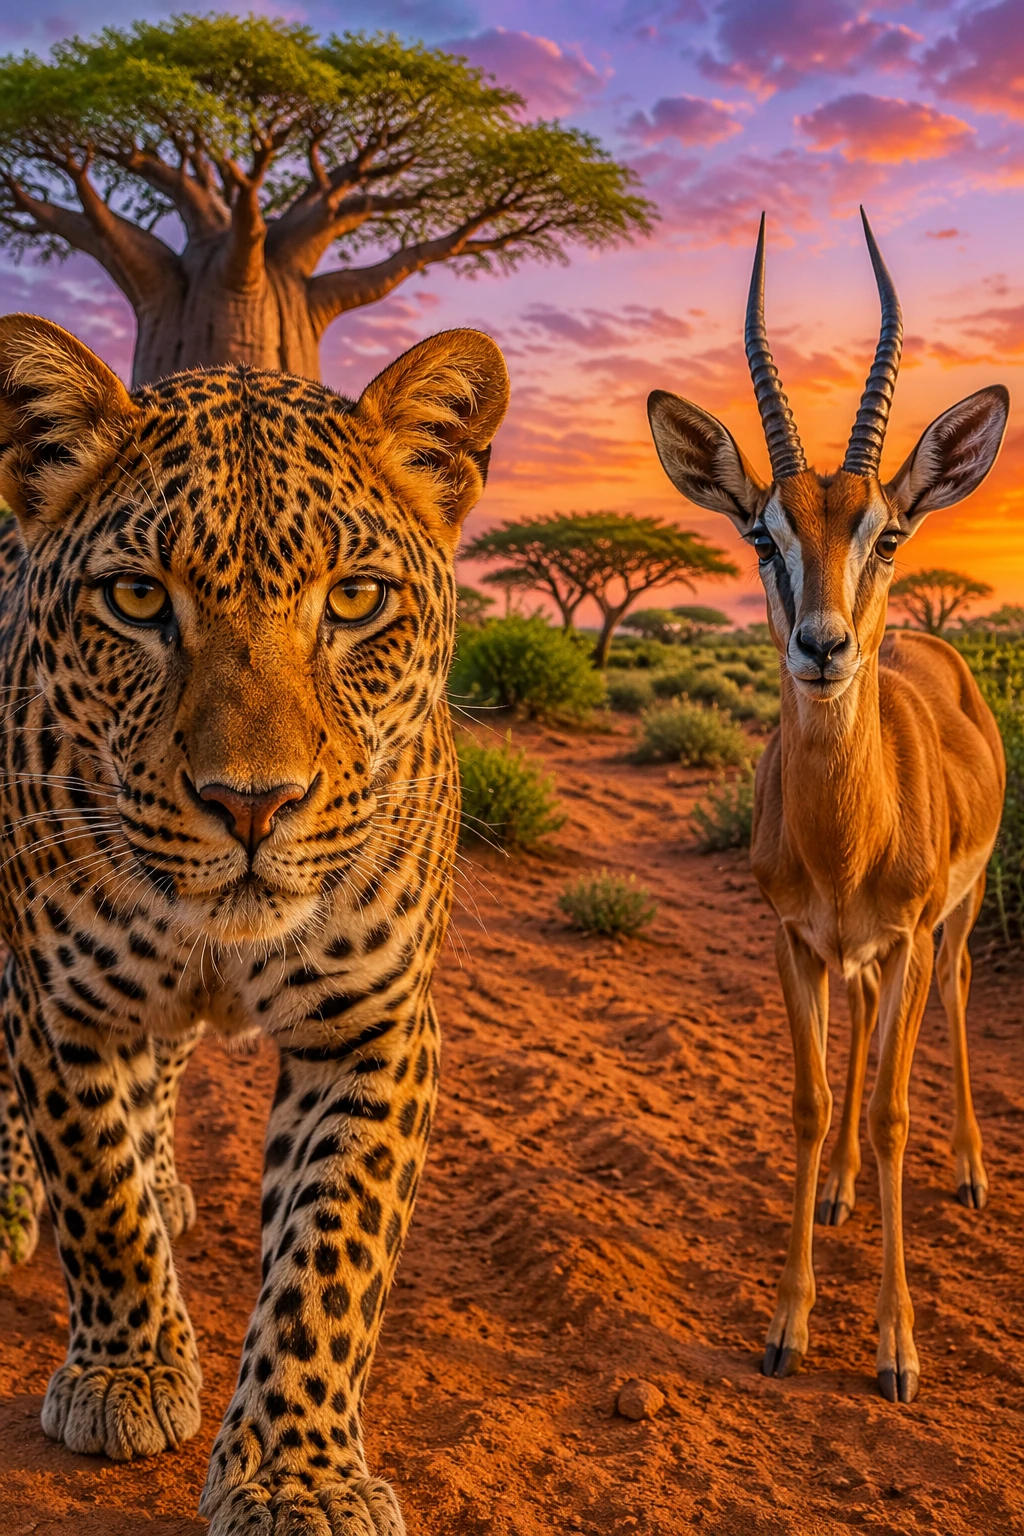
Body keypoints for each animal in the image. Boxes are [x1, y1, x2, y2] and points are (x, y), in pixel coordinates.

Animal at [0, 312, 509, 1534]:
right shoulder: (62, 1005)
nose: (251, 803)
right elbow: (96, 1190)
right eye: (138, 601)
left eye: (356, 600)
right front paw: (127, 1372)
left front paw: (298, 1477)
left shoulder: (374, 1030)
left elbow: (331, 1258)